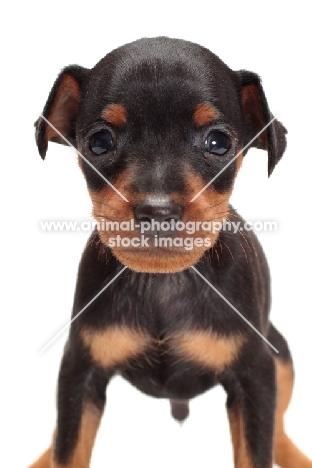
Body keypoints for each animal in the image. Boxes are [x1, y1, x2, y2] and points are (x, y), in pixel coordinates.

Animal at [30, 37, 310, 468]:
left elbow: (256, 447)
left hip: (279, 355)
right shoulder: (79, 370)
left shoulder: (256, 376)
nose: (158, 211)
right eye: (99, 142)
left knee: (277, 428)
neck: (165, 282)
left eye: (218, 143)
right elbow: (69, 447)